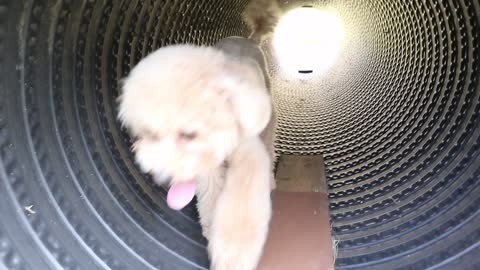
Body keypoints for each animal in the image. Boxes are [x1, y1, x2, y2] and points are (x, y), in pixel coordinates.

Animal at [117, 1, 282, 268]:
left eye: (189, 134)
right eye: (150, 134)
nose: (162, 178)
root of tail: (250, 38)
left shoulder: (248, 152)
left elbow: (242, 201)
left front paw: (233, 256)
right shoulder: (206, 169)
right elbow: (210, 197)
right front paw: (211, 231)